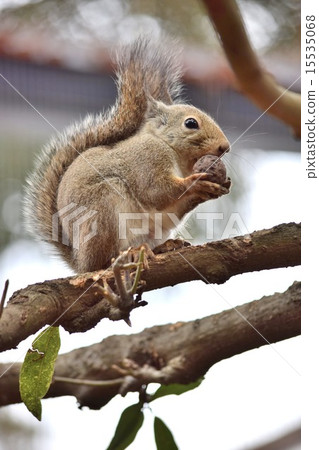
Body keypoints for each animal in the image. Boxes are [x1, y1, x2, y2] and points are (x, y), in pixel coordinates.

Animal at [23, 37, 231, 274]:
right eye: (190, 123)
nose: (225, 146)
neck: (174, 155)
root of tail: (80, 262)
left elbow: (171, 205)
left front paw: (215, 188)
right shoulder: (148, 158)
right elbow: (156, 191)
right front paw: (196, 183)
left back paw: (162, 247)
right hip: (101, 211)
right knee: (102, 260)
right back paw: (121, 257)